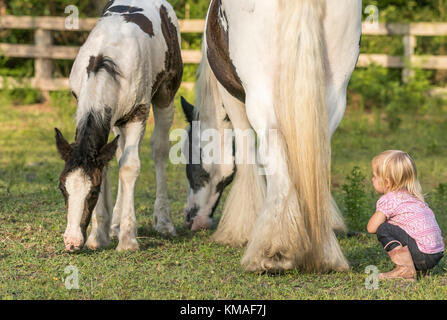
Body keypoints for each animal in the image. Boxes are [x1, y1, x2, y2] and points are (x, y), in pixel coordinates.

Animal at [54, 0, 184, 252]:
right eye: (62, 187)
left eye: (93, 192)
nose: (72, 242)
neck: (106, 63)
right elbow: (108, 164)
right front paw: (99, 235)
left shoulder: (138, 113)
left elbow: (130, 167)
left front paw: (128, 240)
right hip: (116, 122)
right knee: (120, 152)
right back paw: (114, 225)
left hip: (165, 96)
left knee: (159, 150)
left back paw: (164, 222)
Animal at [181, 0, 364, 272]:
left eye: (189, 160)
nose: (192, 218)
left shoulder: (232, 97)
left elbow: (246, 153)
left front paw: (241, 229)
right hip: (333, 96)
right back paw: (323, 252)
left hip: (261, 99)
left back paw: (274, 252)